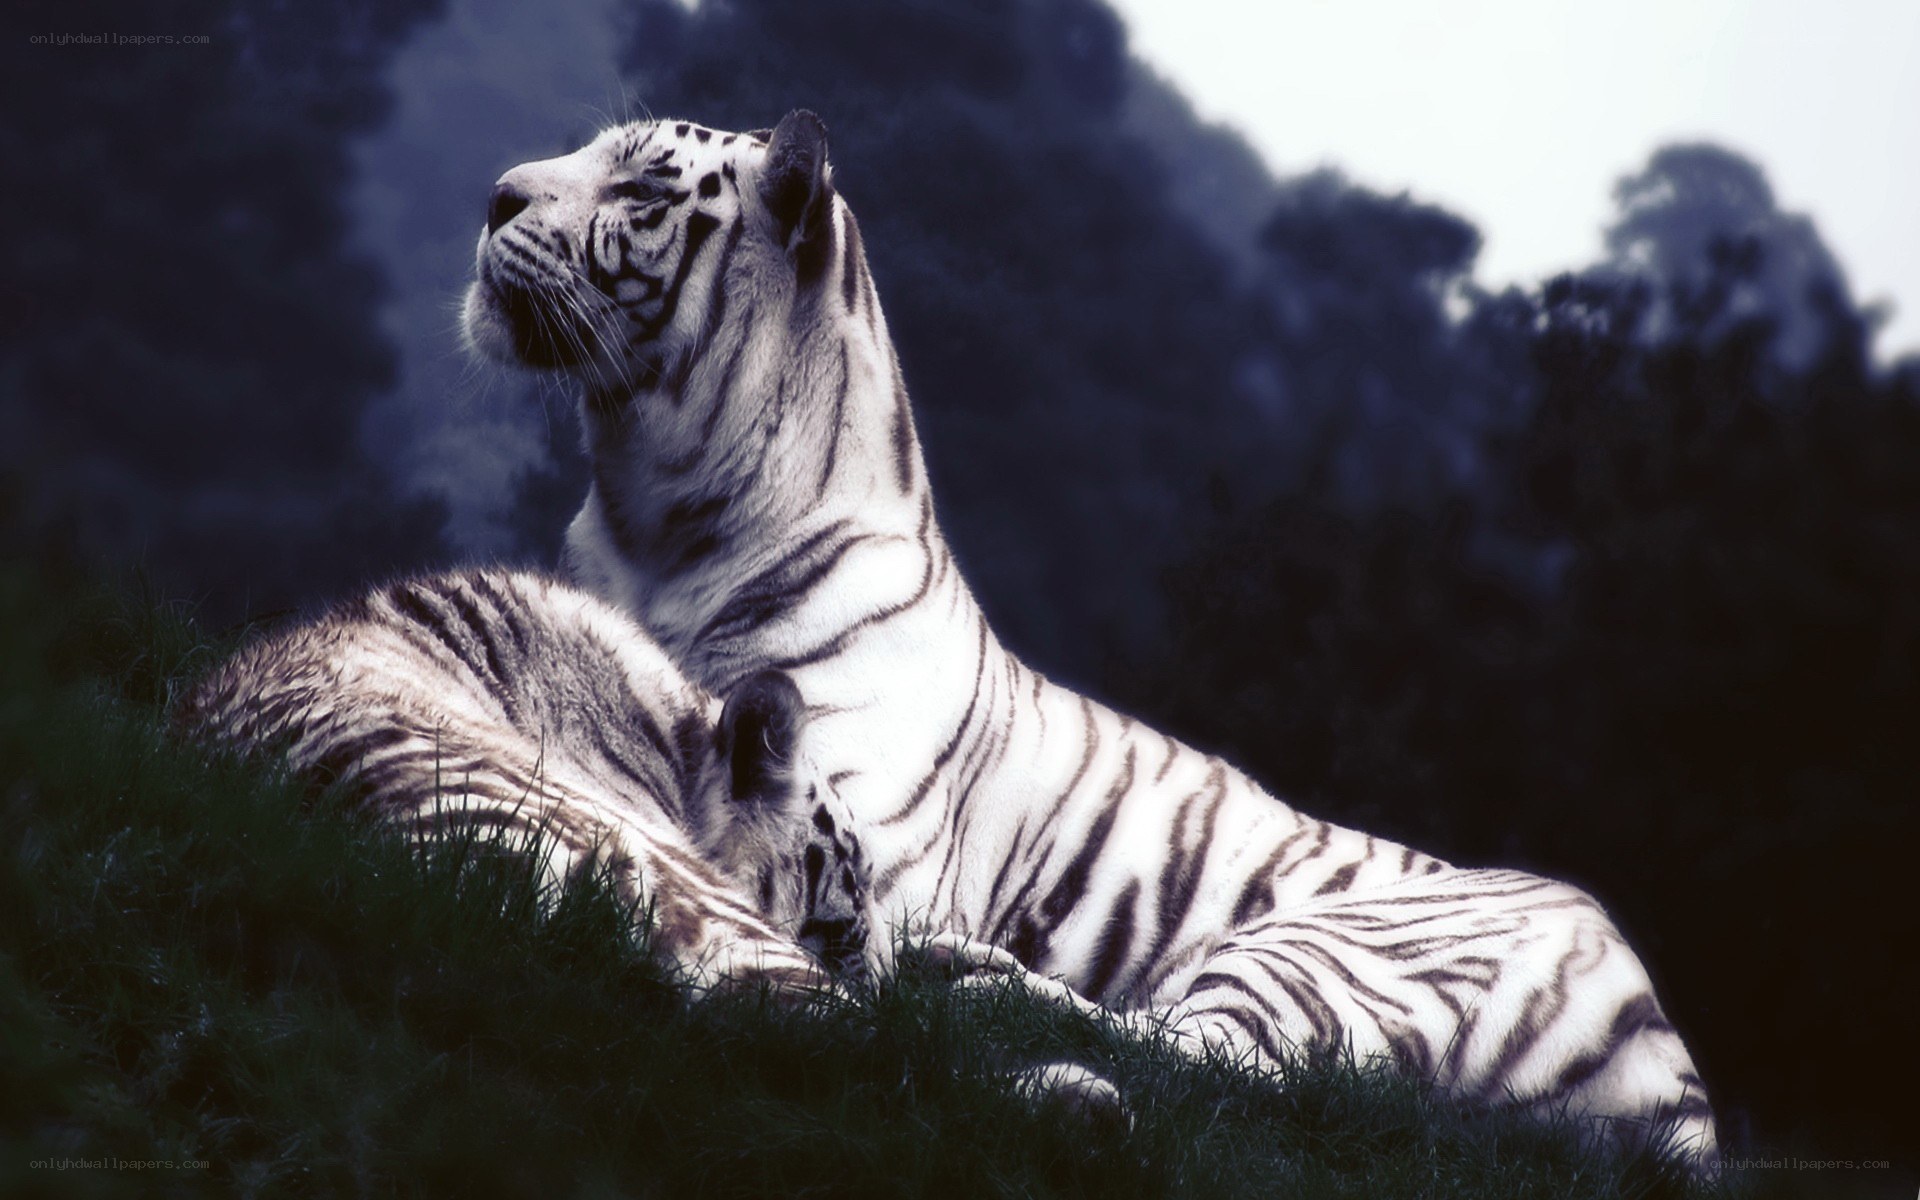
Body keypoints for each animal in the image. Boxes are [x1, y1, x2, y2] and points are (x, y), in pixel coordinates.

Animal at [461, 112, 1717, 1167]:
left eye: (640, 184)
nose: (494, 193)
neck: (653, 520)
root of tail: (1681, 1078)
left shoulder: (856, 837)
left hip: (1335, 952)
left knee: (1209, 1059)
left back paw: (974, 986)